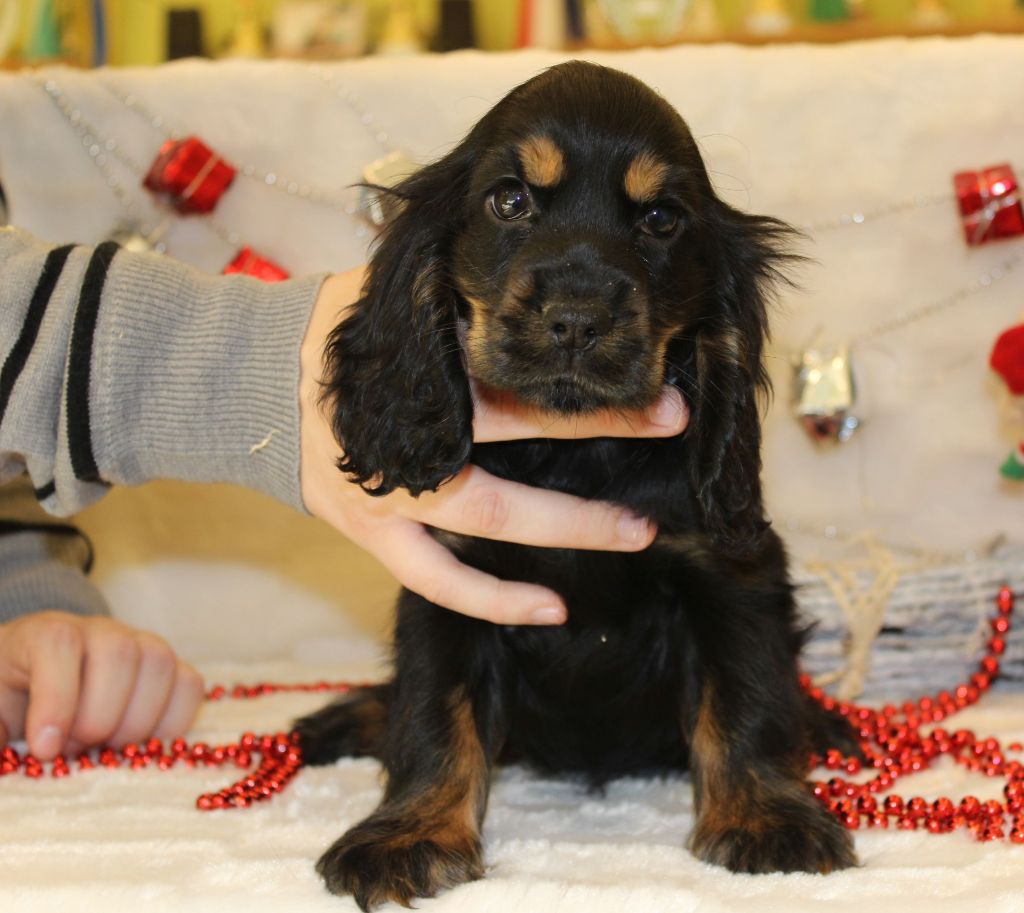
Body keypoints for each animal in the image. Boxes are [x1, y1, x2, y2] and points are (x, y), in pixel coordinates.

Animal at [296, 61, 858, 910]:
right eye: (509, 201)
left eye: (661, 219)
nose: (577, 318)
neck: (578, 452)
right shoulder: (451, 580)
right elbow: (432, 714)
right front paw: (410, 832)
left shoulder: (729, 571)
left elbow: (747, 695)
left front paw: (767, 816)